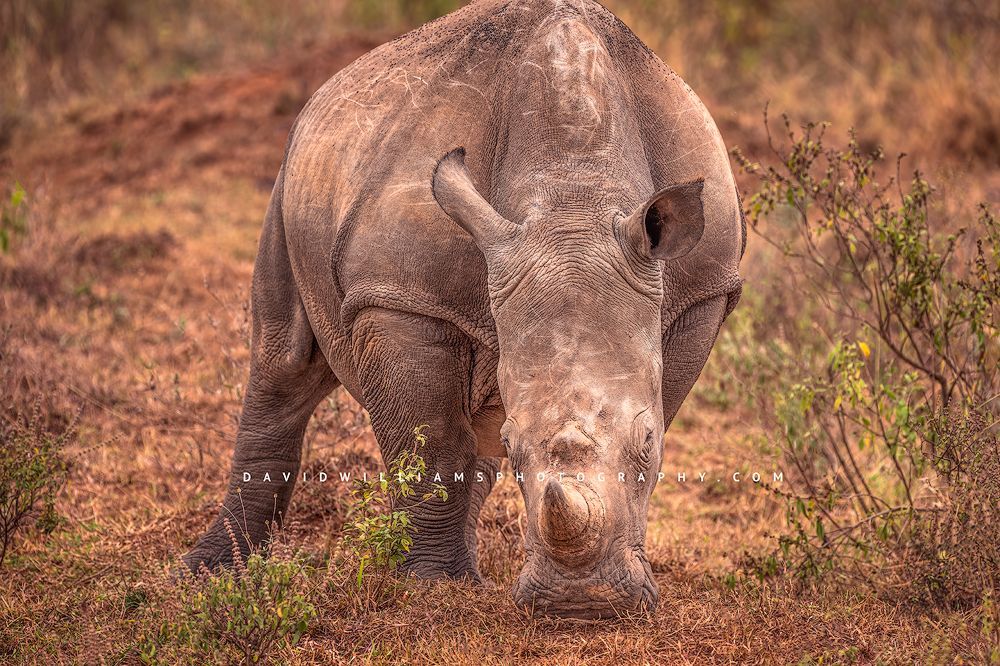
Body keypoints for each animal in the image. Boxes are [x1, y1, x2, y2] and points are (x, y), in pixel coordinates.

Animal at [184, 0, 744, 619]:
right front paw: (431, 586)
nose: (580, 606)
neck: (575, 194)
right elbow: (434, 441)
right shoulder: (403, 295)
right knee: (282, 362)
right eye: (516, 449)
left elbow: (654, 409)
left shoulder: (702, 291)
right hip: (289, 180)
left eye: (646, 444)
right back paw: (210, 572)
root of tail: (326, 90)